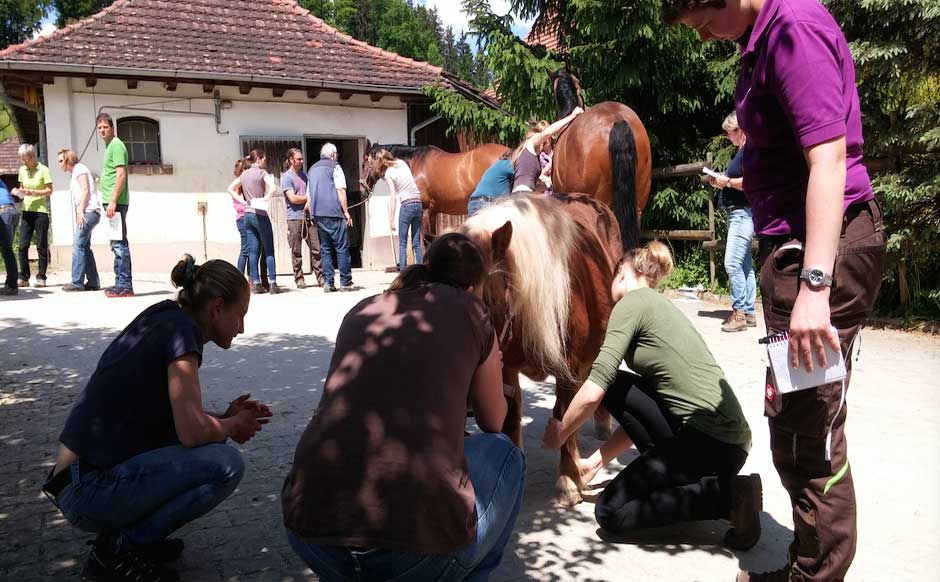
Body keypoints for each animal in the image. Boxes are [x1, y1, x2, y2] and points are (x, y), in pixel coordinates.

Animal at [458, 195, 620, 506]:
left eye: (484, 302)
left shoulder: (569, 367)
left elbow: (564, 415)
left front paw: (568, 480)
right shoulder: (504, 367)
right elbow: (511, 416)